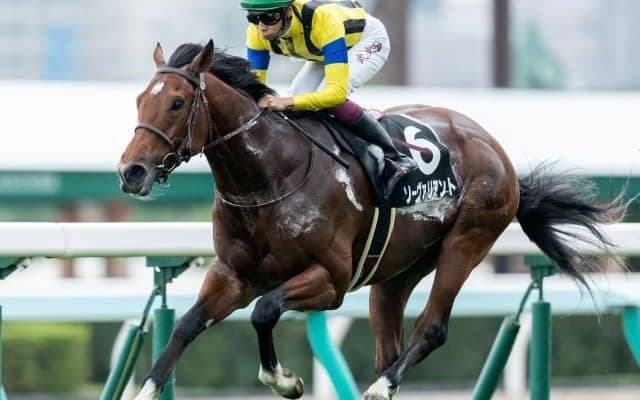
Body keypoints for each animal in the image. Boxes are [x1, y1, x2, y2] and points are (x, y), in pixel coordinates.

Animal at [118, 40, 626, 400]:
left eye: (178, 102)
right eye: (140, 100)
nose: (131, 171)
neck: (268, 178)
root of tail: (496, 150)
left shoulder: (331, 281)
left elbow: (264, 312)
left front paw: (286, 381)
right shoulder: (233, 275)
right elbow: (186, 325)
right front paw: (147, 388)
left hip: (467, 241)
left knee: (432, 328)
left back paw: (381, 388)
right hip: (397, 271)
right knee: (390, 344)